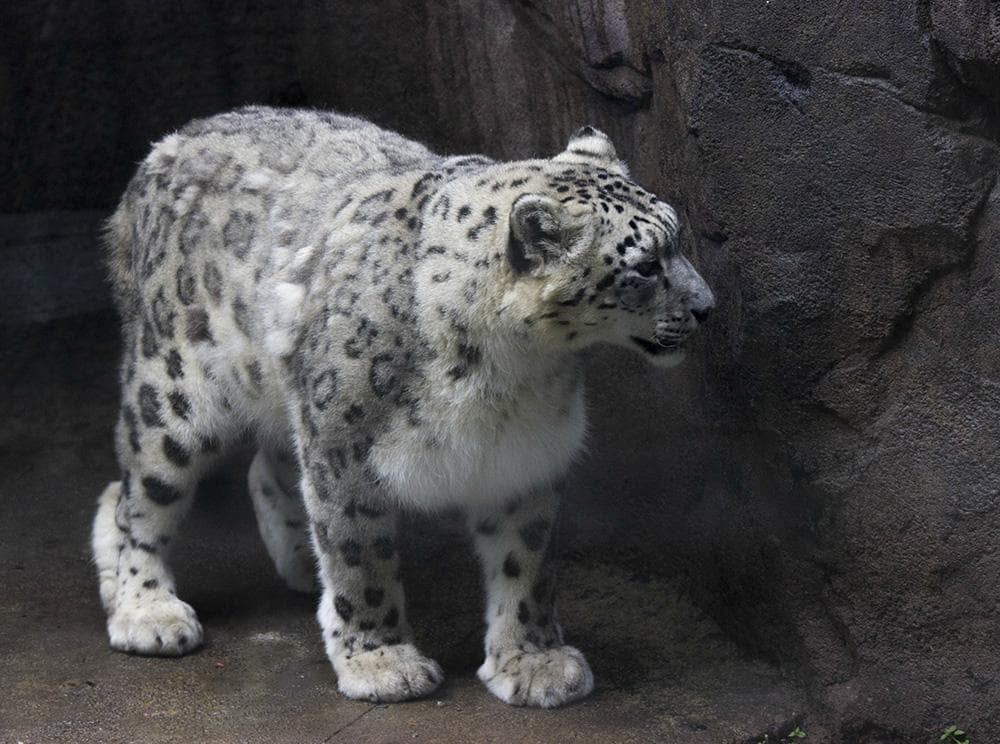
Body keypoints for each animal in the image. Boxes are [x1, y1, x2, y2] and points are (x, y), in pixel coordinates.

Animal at [91, 105, 714, 708]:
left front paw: (533, 662)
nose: (707, 306)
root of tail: (162, 150)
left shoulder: (529, 453)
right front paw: (382, 662)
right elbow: (360, 556)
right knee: (136, 497)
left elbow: (527, 563)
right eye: (644, 266)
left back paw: (301, 560)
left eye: (677, 238)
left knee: (267, 468)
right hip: (173, 393)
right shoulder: (344, 446)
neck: (512, 372)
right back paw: (145, 610)